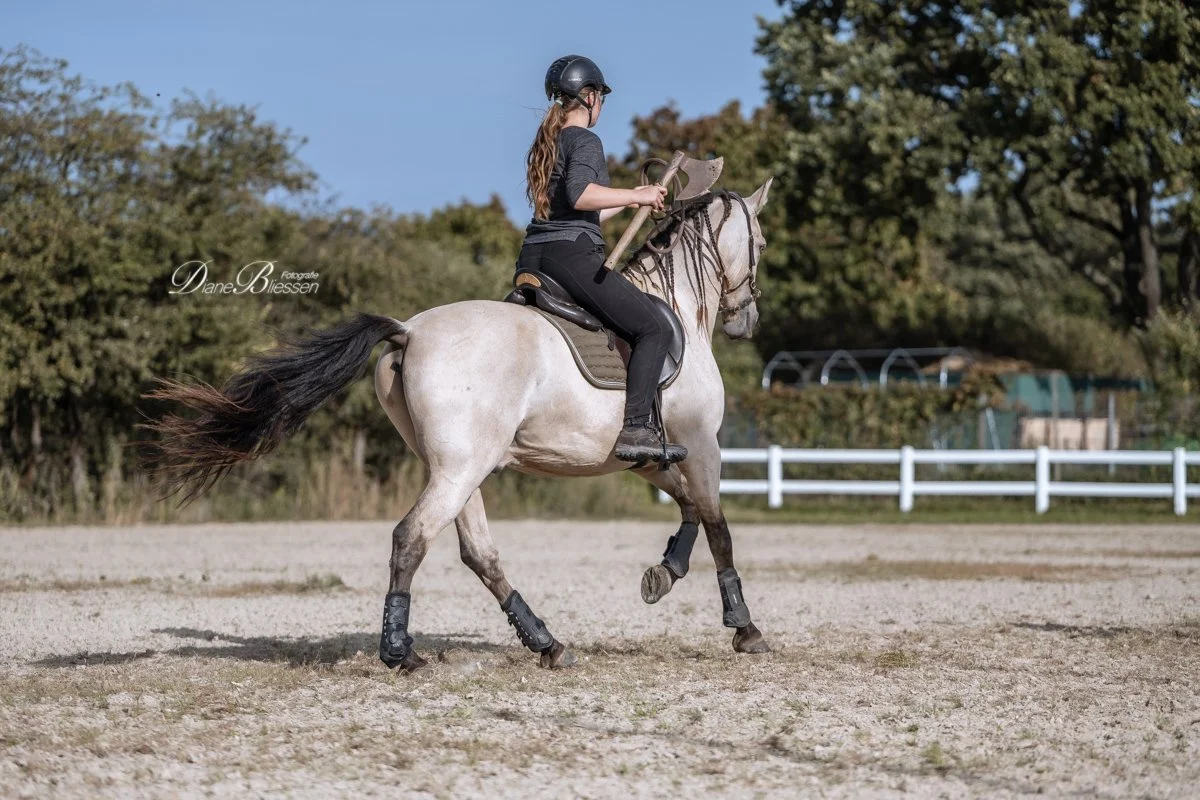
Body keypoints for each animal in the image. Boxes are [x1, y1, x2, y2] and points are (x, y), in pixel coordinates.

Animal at [145, 177, 774, 671]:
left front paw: (664, 573)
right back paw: (402, 653)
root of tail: (408, 331)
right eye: (762, 243)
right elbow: (718, 526)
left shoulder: (647, 457)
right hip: (460, 468)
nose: (746, 322)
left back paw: (546, 643)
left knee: (478, 554)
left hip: (461, 466)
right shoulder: (701, 445)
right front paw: (744, 627)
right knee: (412, 538)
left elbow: (689, 510)